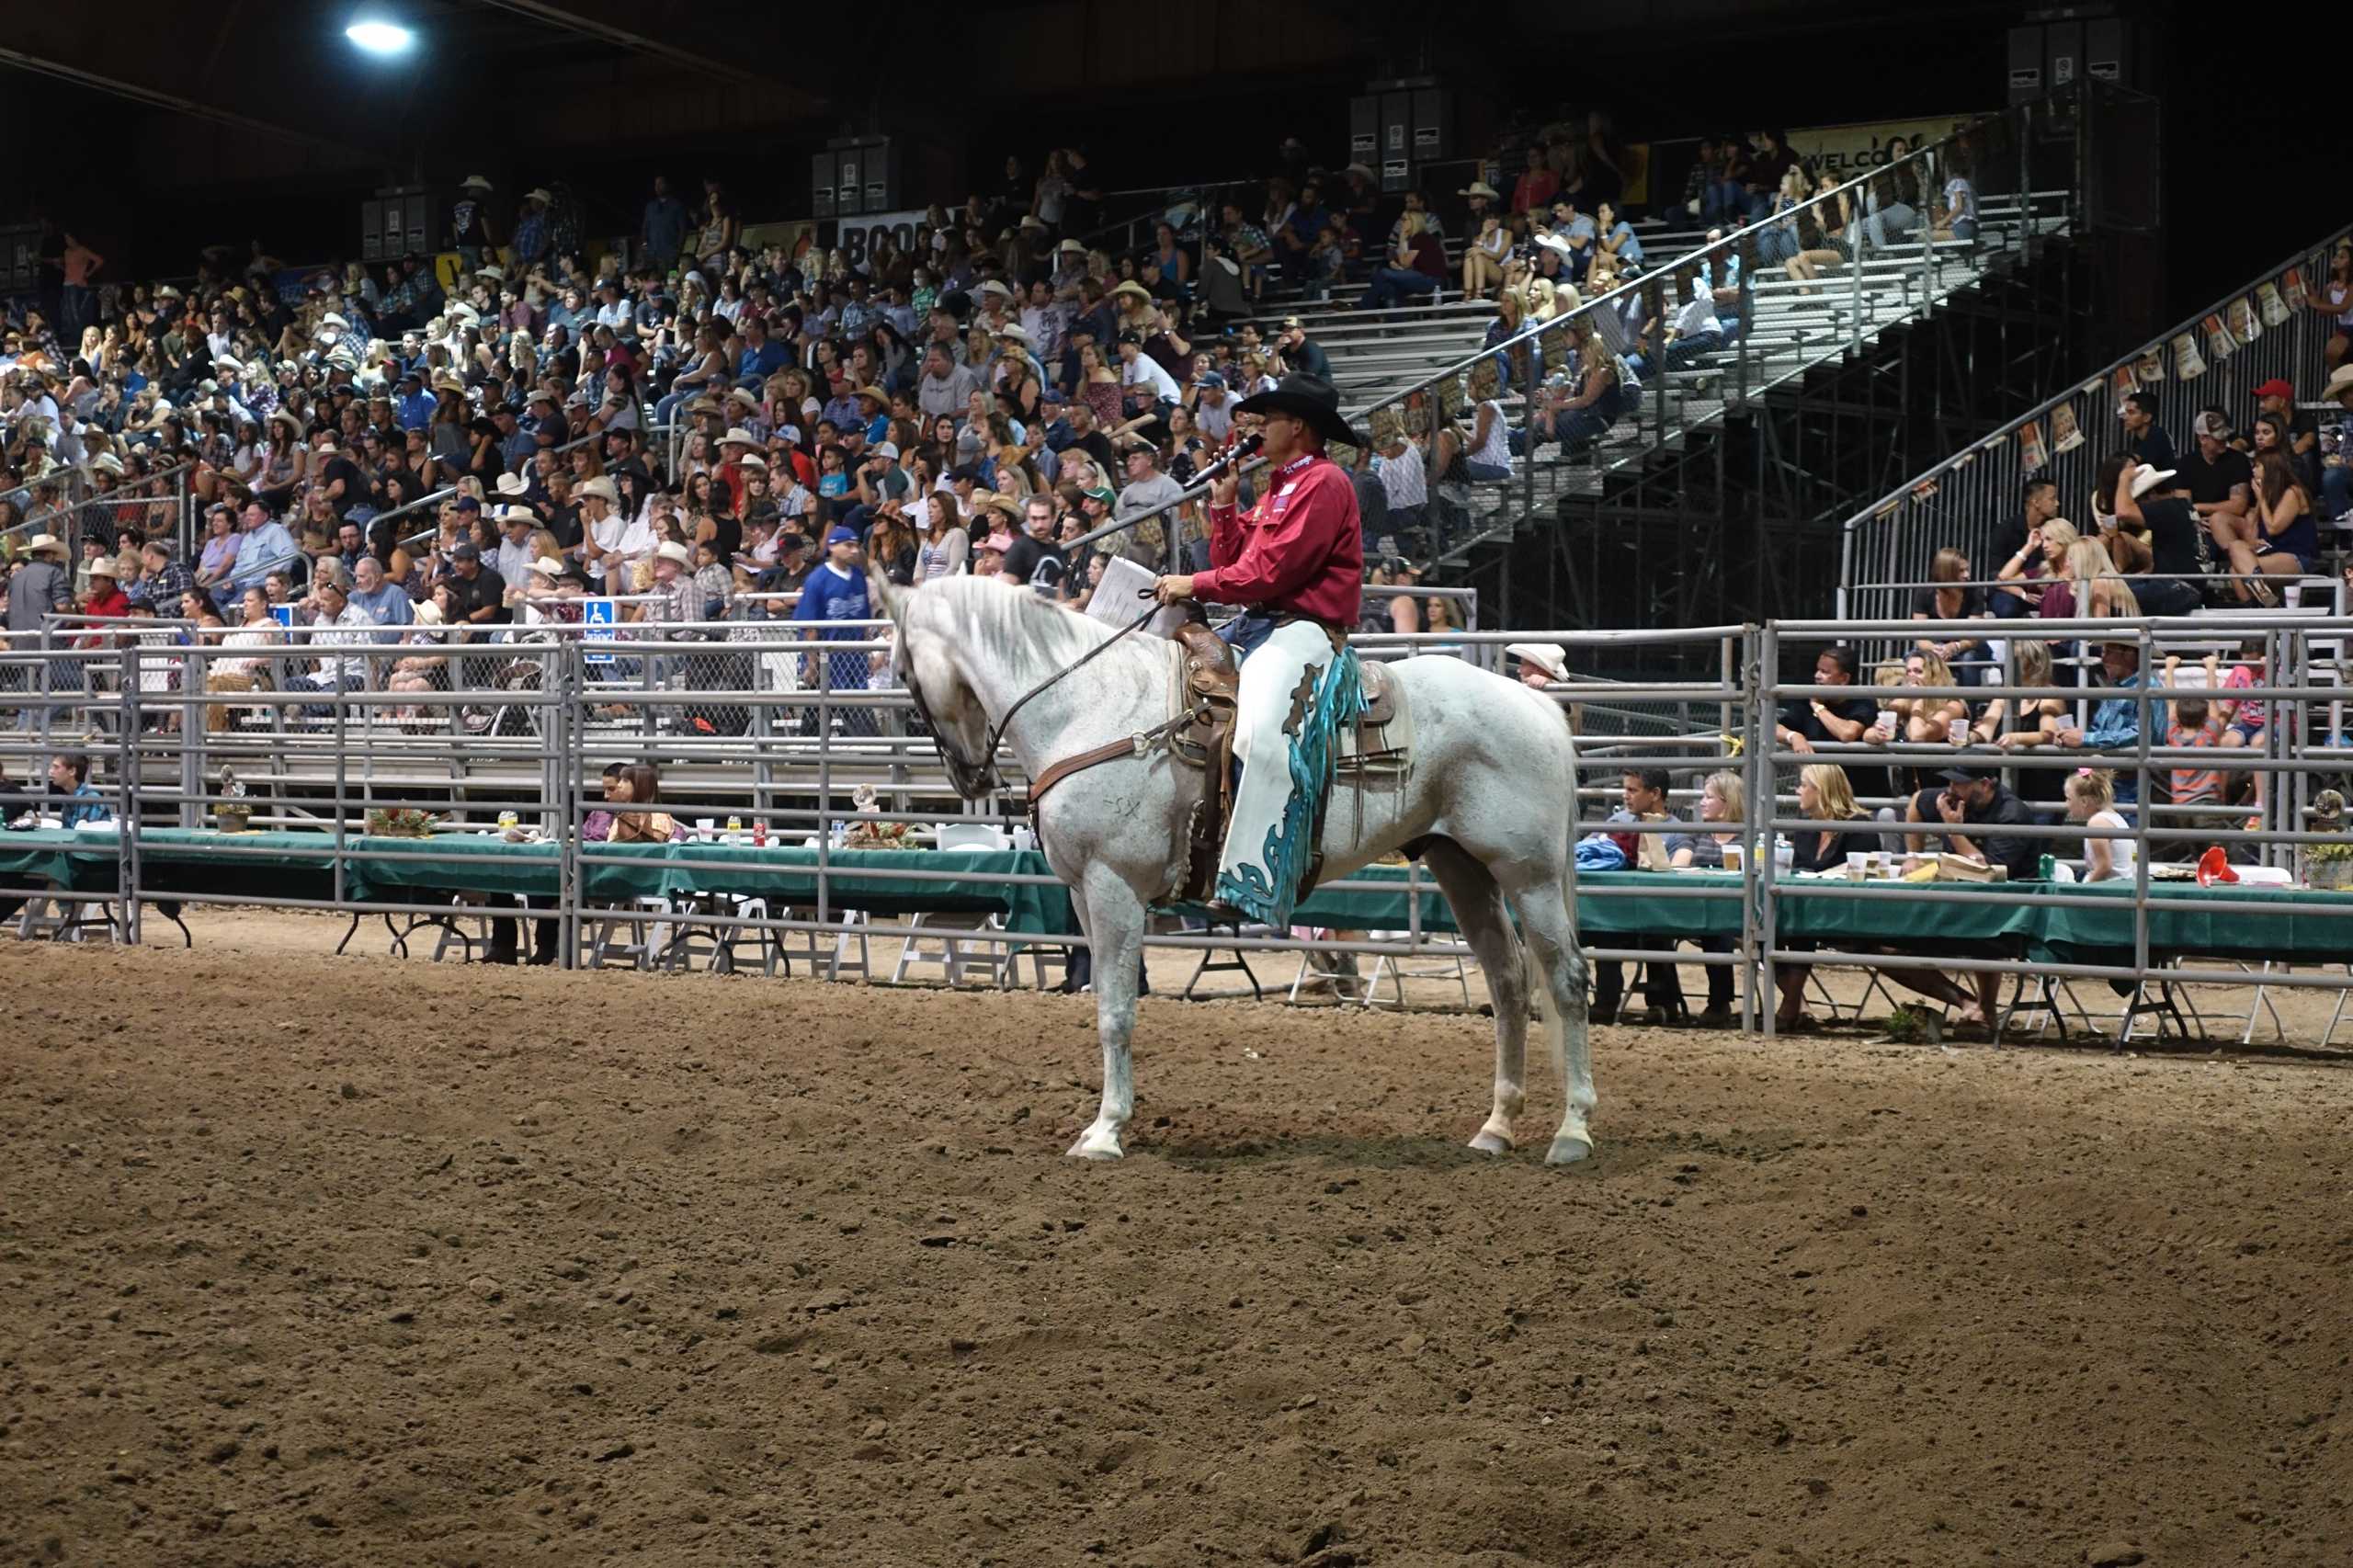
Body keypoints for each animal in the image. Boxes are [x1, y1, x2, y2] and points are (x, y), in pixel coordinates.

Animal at [875, 572, 1609, 1158]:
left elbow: (1117, 1012)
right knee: (1508, 983)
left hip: (1529, 874)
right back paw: (1496, 1128)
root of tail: (1535, 702)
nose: (967, 776)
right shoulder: (1084, 892)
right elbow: (1106, 1000)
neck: (1088, 705)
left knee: (1566, 980)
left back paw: (1572, 1132)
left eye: (903, 672)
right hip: (1462, 866)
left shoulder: (1114, 886)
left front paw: (1106, 1132)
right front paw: (1106, 1122)